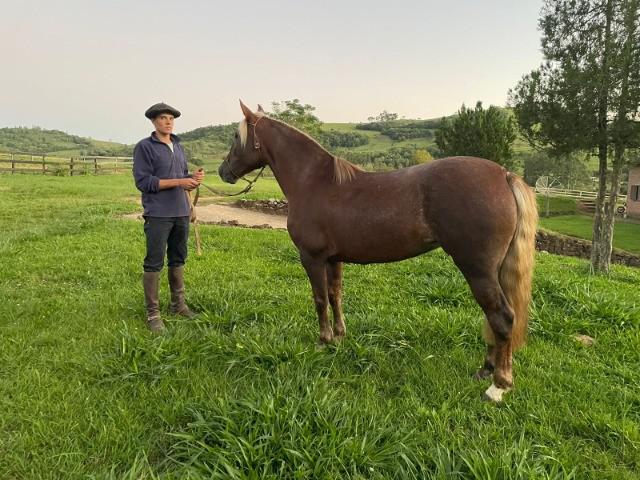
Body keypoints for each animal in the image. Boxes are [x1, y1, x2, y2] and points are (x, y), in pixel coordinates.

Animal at [218, 101, 536, 402]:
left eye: (236, 135)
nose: (223, 171)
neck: (314, 182)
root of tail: (504, 174)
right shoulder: (333, 260)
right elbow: (335, 295)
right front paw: (339, 337)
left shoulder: (312, 258)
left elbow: (319, 299)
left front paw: (323, 341)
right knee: (494, 318)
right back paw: (486, 370)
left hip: (477, 269)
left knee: (501, 317)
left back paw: (498, 386)